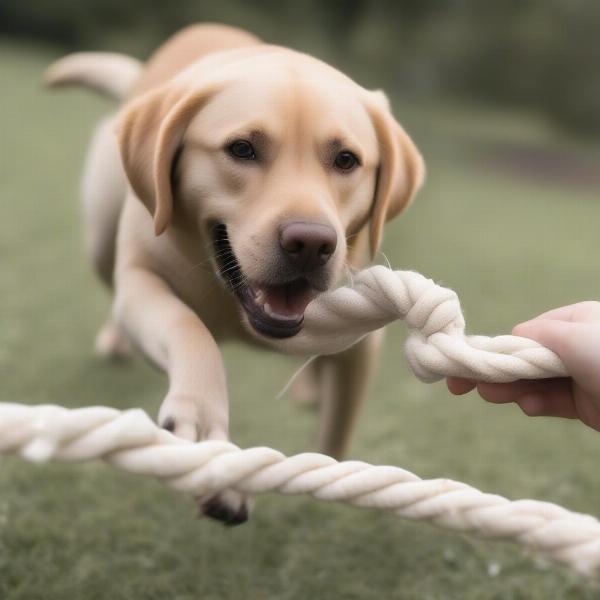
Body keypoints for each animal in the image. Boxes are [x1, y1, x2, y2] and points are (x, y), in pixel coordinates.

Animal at [44, 22, 424, 520]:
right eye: (242, 149)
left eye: (346, 159)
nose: (311, 243)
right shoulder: (144, 281)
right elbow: (187, 328)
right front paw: (204, 422)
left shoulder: (361, 336)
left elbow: (337, 428)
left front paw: (328, 478)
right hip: (103, 234)